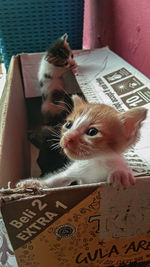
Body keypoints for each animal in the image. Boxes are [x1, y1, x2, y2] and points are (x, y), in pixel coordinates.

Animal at [17, 95, 147, 189]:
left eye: (92, 132)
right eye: (68, 124)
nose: (67, 137)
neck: (94, 162)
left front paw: (120, 173)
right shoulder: (76, 170)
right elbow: (57, 179)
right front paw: (34, 183)